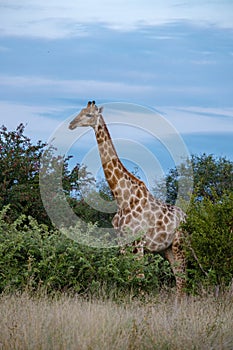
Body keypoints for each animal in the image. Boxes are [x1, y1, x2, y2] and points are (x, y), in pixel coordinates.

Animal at [68, 100, 187, 296]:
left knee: (183, 276)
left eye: (89, 115)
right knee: (178, 276)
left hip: (180, 244)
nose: (71, 124)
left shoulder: (138, 243)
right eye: (80, 111)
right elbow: (127, 274)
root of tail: (186, 216)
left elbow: (139, 277)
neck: (122, 198)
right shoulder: (122, 243)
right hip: (167, 248)